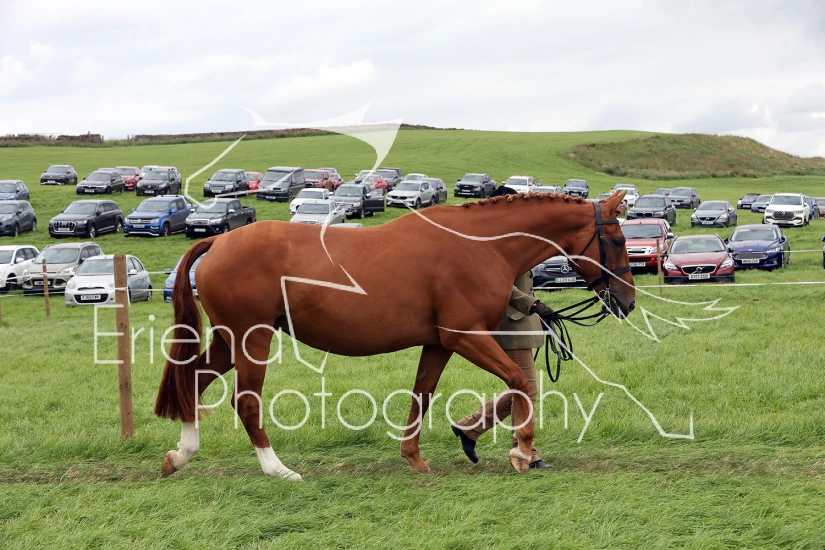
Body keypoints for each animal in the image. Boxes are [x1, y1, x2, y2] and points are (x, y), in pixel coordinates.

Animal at [155, 190, 634, 480]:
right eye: (617, 240)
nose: (627, 301)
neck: (478, 244)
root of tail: (219, 243)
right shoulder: (465, 336)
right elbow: (518, 381)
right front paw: (522, 452)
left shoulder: (439, 343)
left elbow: (422, 394)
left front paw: (414, 457)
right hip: (251, 339)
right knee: (245, 400)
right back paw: (277, 469)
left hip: (228, 340)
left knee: (193, 380)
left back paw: (180, 455)